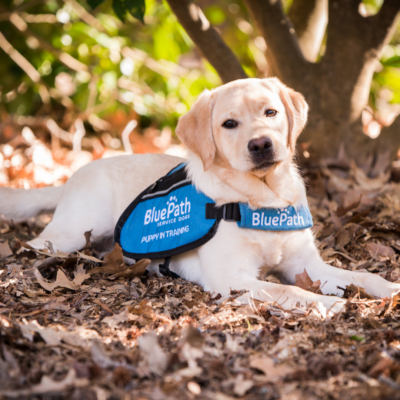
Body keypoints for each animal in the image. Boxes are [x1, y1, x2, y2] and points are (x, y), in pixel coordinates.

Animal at [1, 79, 398, 316]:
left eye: (270, 112)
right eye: (229, 124)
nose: (261, 144)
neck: (261, 198)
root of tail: (75, 174)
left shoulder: (306, 265)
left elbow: (360, 276)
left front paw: (388, 287)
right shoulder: (231, 278)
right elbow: (290, 291)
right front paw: (327, 305)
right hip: (71, 232)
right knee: (32, 245)